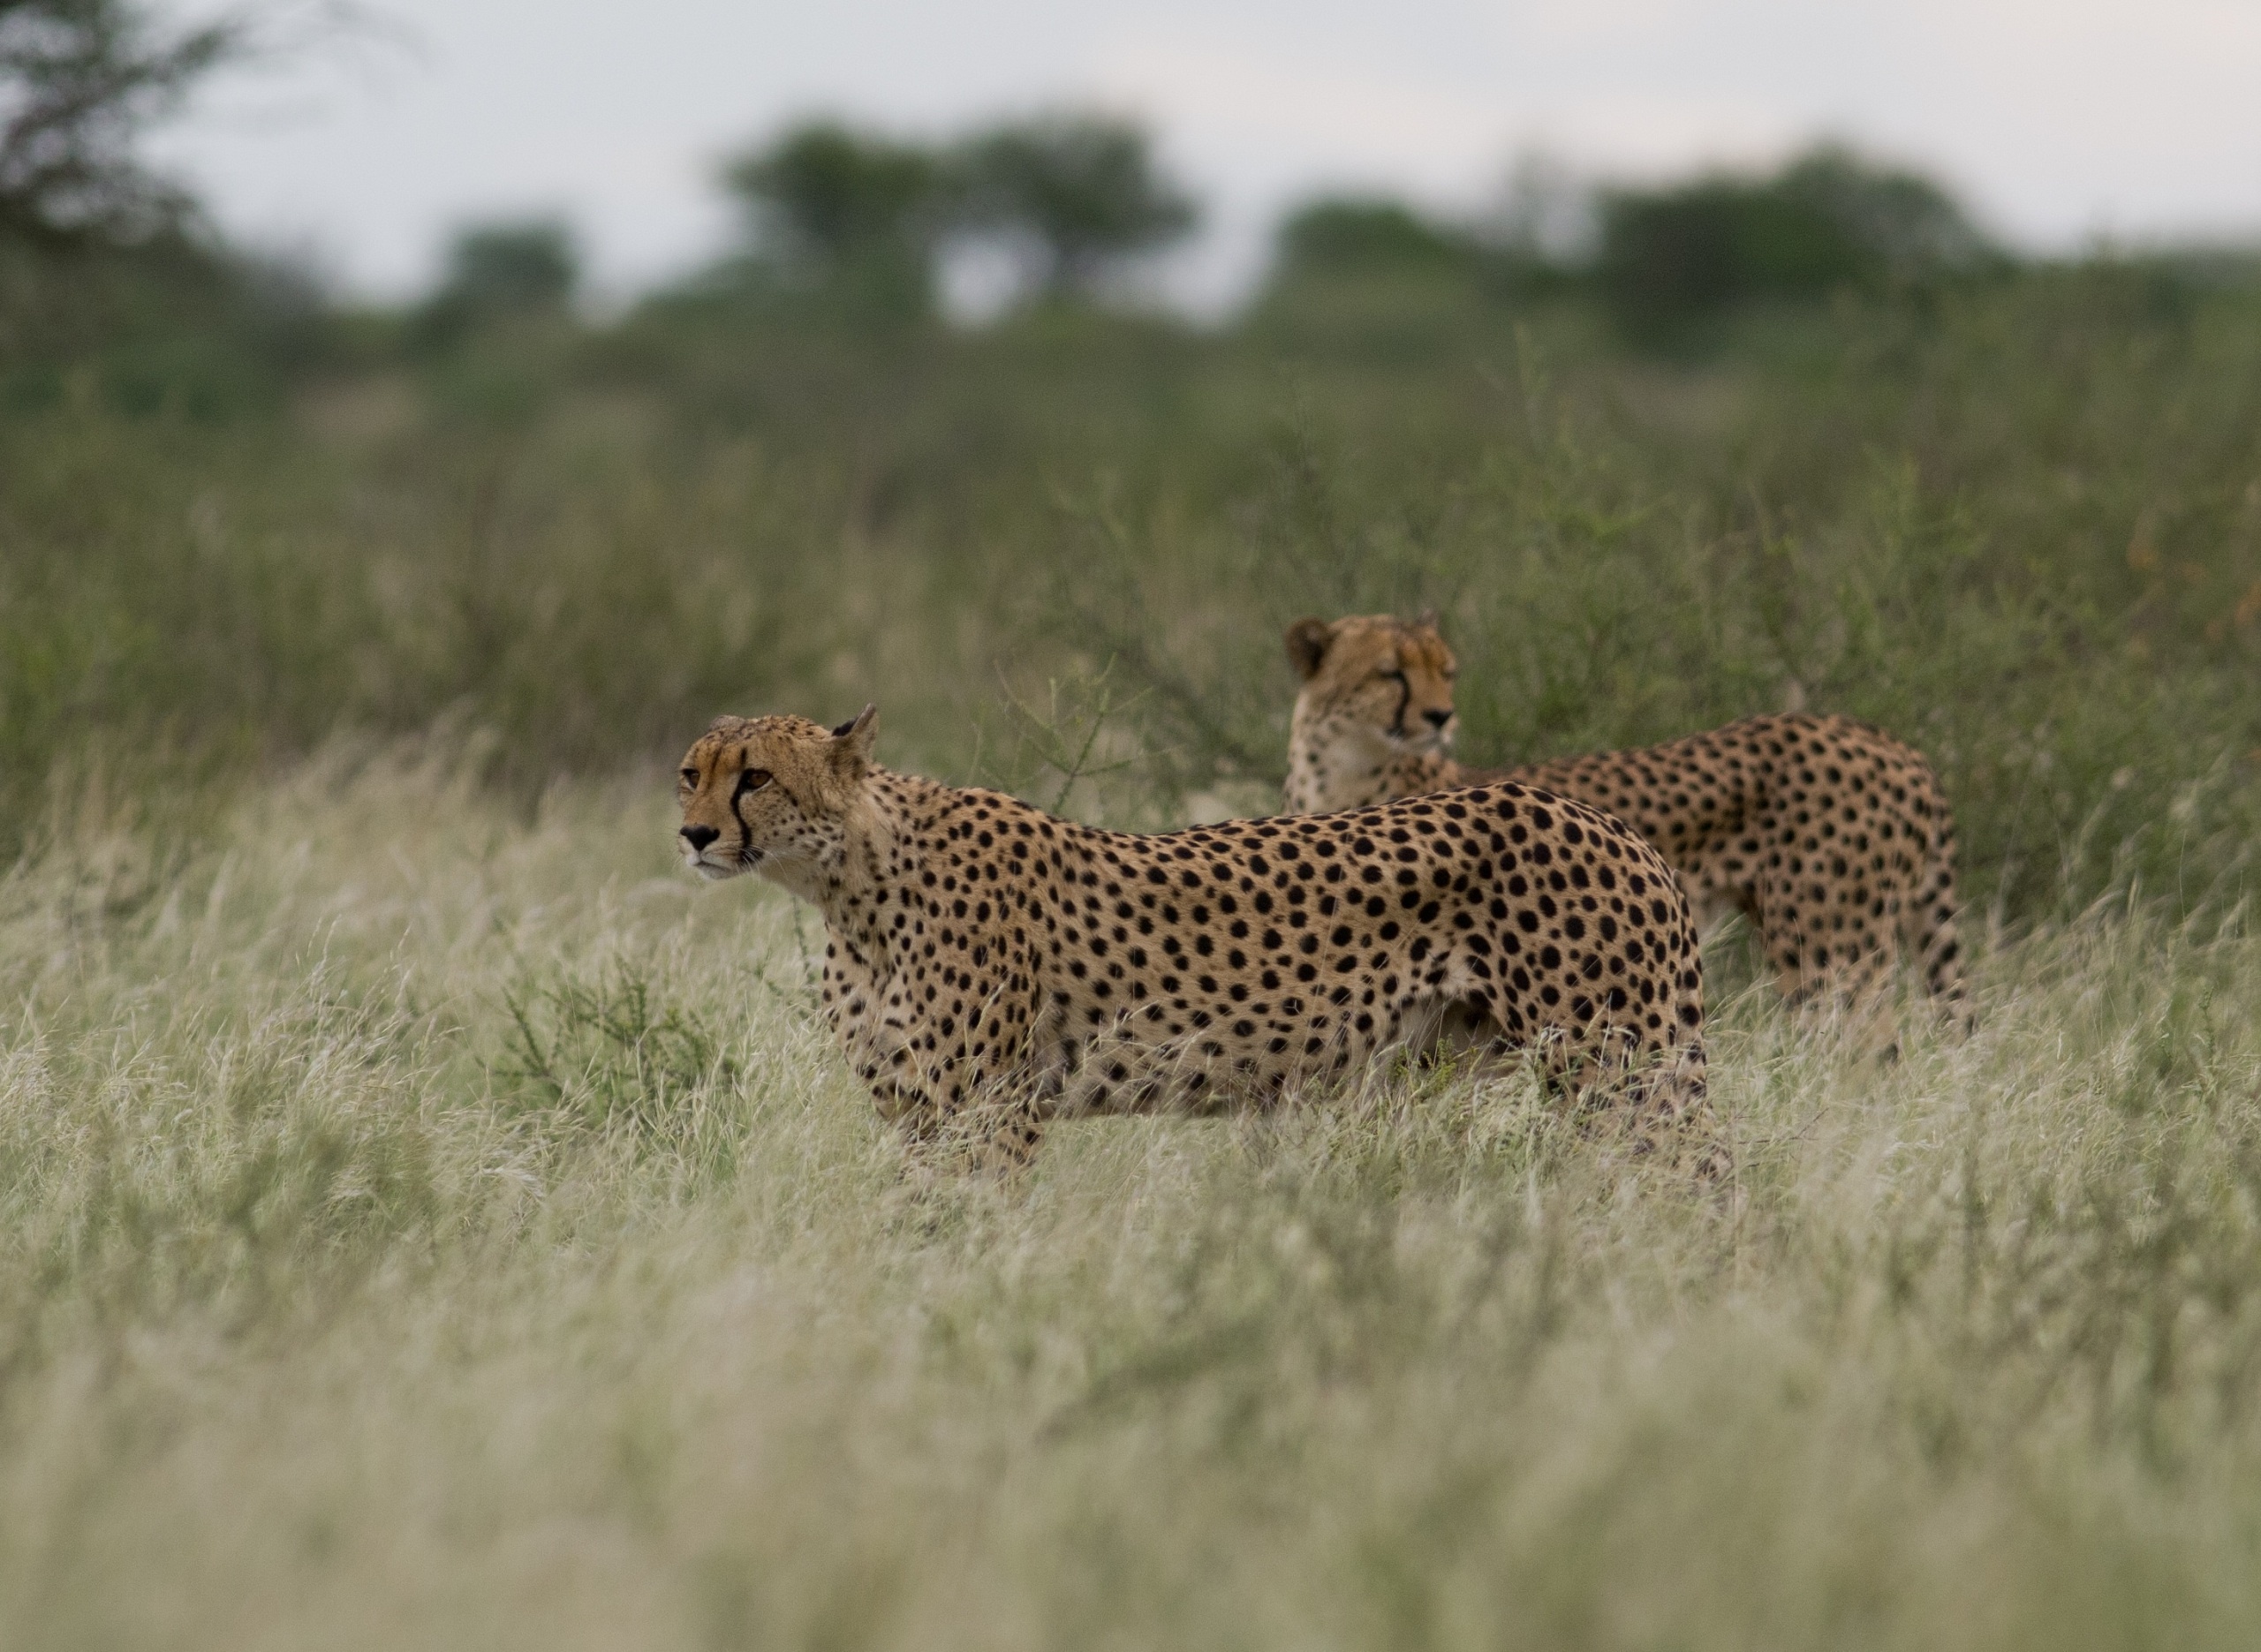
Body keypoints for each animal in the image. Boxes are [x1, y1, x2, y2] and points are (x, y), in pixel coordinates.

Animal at [677, 705, 1719, 1173]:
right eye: (692, 770)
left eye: (755, 776)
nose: (690, 833)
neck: (851, 884)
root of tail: (1606, 821)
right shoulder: (913, 1113)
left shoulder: (989, 1112)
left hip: (1619, 1069)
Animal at [1283, 613, 1966, 1034]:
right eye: (1390, 672)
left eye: (1445, 671)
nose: (1440, 715)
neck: (1341, 767)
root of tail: (1894, 742)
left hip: (1829, 951)